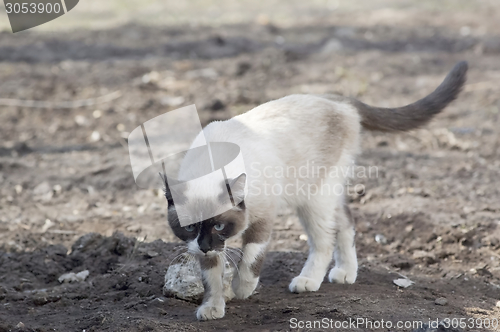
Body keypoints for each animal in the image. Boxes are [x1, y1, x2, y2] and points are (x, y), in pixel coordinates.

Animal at [164, 61, 468, 320]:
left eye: (218, 226)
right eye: (189, 228)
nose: (205, 246)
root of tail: (335, 98)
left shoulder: (262, 218)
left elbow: (251, 258)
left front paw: (242, 288)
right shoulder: (204, 248)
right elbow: (211, 278)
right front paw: (213, 308)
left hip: (314, 197)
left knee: (325, 239)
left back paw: (309, 280)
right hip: (323, 192)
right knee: (345, 220)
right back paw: (345, 272)